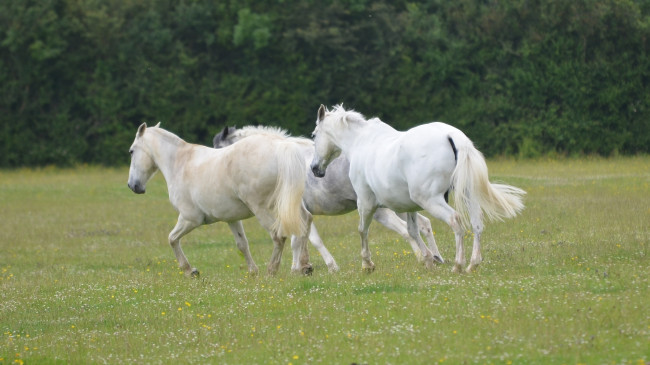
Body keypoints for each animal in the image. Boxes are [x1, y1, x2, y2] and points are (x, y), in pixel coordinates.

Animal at [213, 125, 446, 270]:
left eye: (218, 150)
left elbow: (307, 239)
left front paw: (323, 266)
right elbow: (303, 239)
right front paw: (304, 265)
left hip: (382, 210)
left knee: (406, 230)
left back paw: (424, 257)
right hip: (398, 204)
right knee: (423, 225)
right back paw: (436, 257)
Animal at [306, 104, 524, 272]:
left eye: (314, 135)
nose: (315, 168)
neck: (361, 142)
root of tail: (452, 136)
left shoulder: (366, 203)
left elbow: (362, 230)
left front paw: (367, 264)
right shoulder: (409, 206)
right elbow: (412, 231)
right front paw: (429, 260)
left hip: (430, 200)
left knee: (455, 221)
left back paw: (458, 265)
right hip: (467, 195)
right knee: (477, 224)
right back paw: (472, 264)